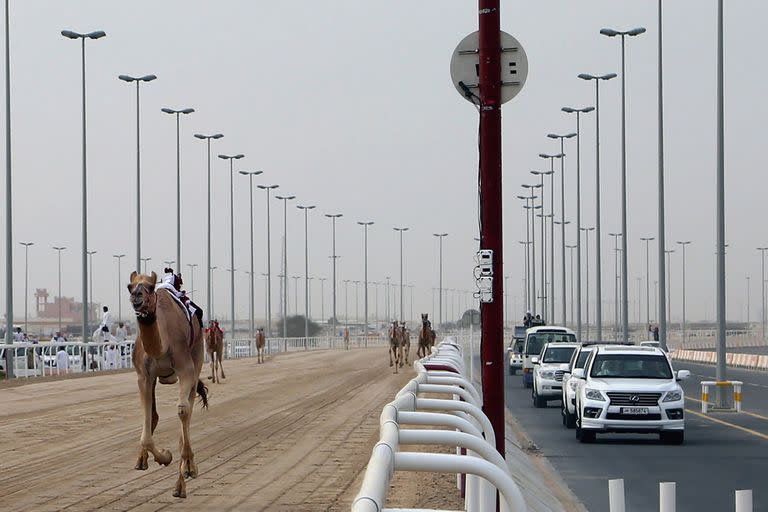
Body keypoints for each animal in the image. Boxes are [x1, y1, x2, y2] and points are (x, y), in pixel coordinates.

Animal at [128, 272, 208, 500]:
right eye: (129, 286)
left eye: (150, 287)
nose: (136, 297)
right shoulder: (143, 376)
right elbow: (147, 421)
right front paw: (164, 456)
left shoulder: (185, 369)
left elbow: (182, 411)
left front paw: (183, 476)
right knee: (154, 415)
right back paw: (142, 460)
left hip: (197, 355)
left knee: (187, 410)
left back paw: (187, 469)